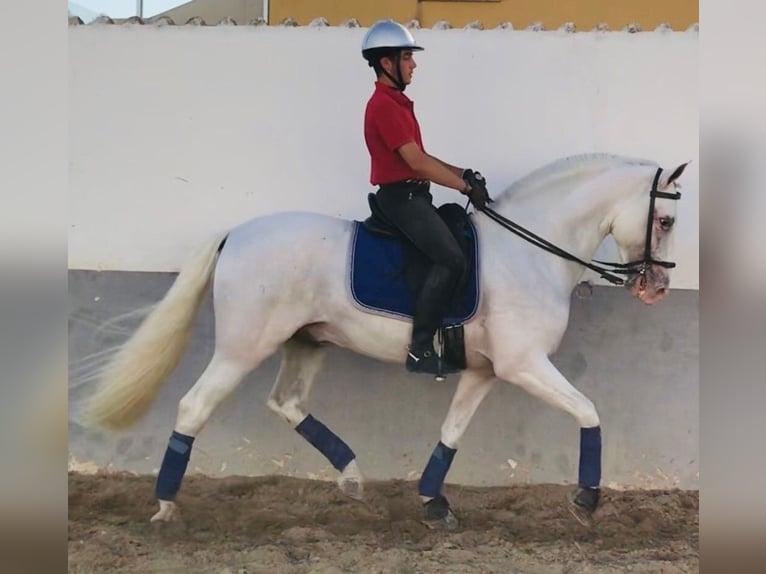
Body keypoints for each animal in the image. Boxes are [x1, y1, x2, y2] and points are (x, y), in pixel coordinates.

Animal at [84, 153, 688, 532]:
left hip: (307, 344)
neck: (531, 252)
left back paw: (352, 478)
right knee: (195, 406)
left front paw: (434, 504)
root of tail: (236, 234)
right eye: (665, 220)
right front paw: (586, 500)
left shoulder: (485, 371)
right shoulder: (524, 364)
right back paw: (166, 506)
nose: (657, 289)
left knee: (287, 403)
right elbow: (588, 411)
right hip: (242, 348)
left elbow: (451, 433)